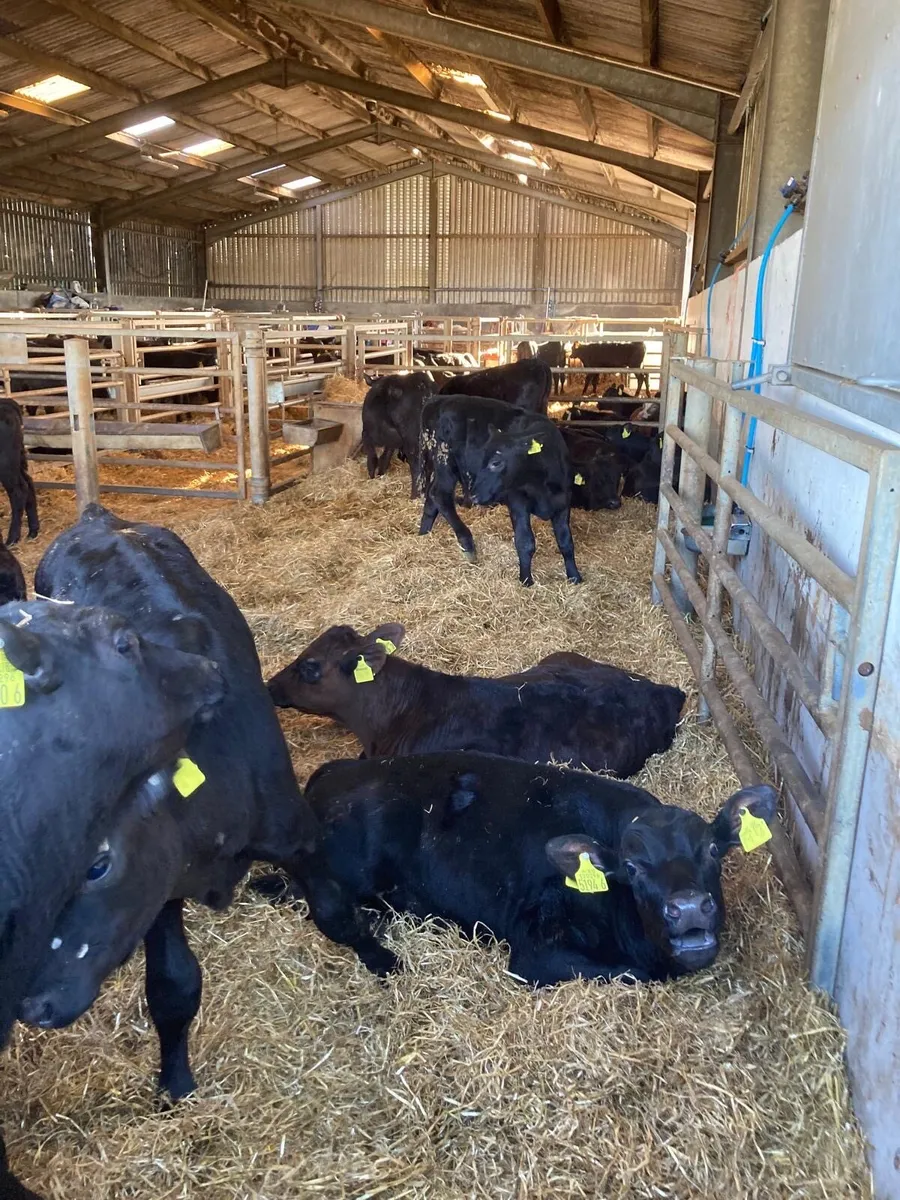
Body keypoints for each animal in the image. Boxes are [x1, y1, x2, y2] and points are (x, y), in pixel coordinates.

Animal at [0, 400, 39, 545]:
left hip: (6, 463)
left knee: (18, 492)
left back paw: (12, 538)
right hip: (15, 462)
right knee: (28, 482)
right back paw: (33, 530)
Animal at [25, 505, 387, 1102]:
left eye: (97, 863)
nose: (31, 1004)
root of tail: (98, 518)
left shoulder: (295, 832)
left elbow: (336, 910)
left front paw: (382, 959)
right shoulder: (160, 895)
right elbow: (173, 986)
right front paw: (175, 1079)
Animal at [258, 752, 778, 986]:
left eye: (713, 850)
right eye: (632, 868)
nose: (687, 908)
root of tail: (333, 770)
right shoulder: (535, 953)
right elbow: (629, 973)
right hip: (335, 880)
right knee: (334, 918)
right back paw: (383, 958)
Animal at [419, 395, 581, 585]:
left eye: (496, 462)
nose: (474, 495)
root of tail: (438, 399)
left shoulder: (563, 502)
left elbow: (566, 542)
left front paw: (574, 576)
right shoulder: (517, 500)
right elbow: (525, 541)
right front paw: (526, 580)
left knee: (431, 496)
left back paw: (423, 534)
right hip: (445, 461)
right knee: (440, 495)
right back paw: (467, 543)